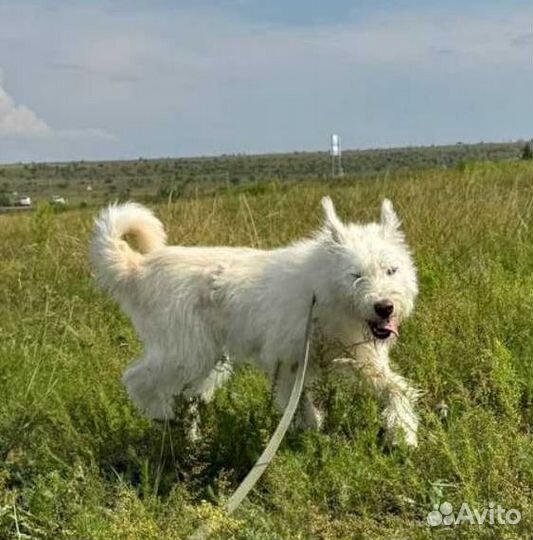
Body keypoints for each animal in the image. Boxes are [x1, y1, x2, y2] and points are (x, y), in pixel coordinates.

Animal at [90, 198, 420, 448]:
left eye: (391, 270)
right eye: (356, 275)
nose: (384, 308)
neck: (323, 293)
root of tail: (137, 268)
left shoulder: (359, 358)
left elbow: (396, 389)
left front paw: (404, 433)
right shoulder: (287, 361)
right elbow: (298, 403)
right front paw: (310, 432)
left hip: (204, 360)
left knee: (186, 396)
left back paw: (190, 439)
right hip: (183, 353)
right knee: (137, 380)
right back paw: (163, 421)